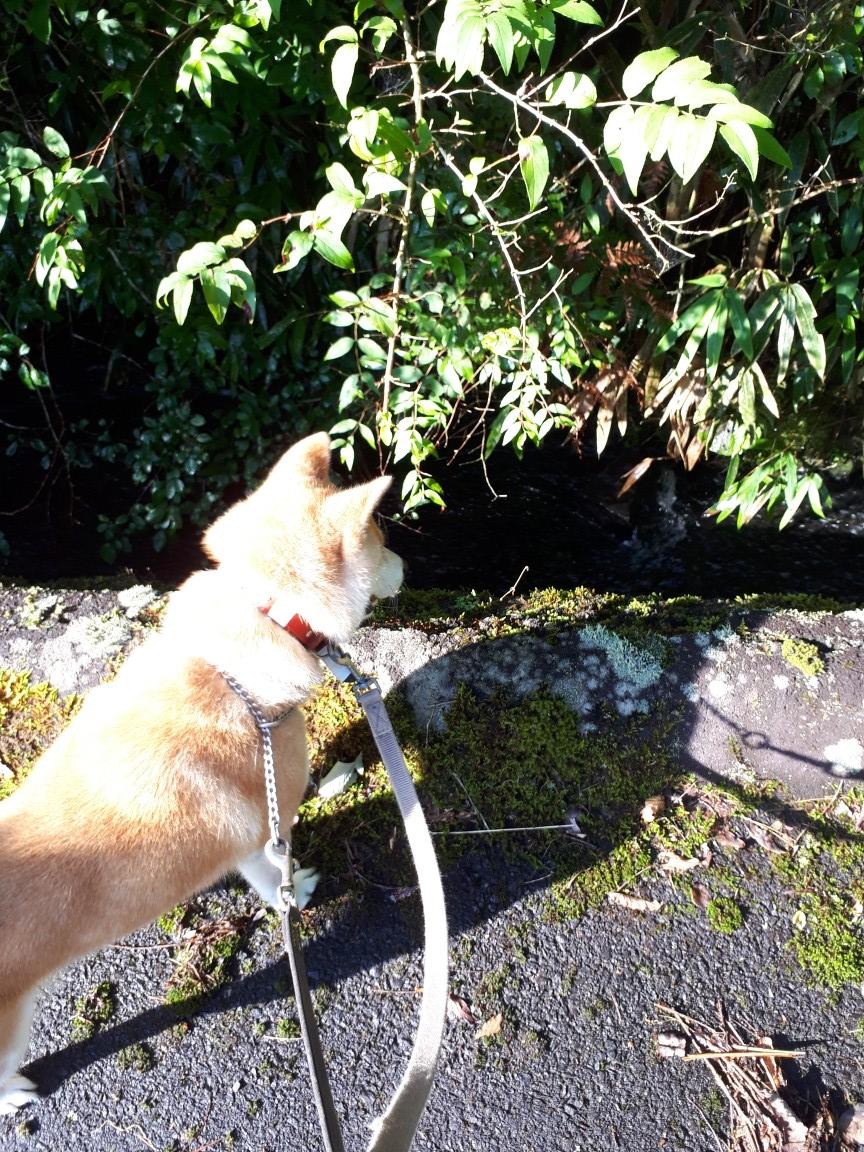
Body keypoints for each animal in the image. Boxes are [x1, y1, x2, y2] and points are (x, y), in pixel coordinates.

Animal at [0, 432, 403, 1114]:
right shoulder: (270, 815)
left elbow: (257, 876)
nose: (406, 565)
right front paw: (300, 889)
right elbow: (275, 875)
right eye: (380, 536)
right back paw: (16, 1096)